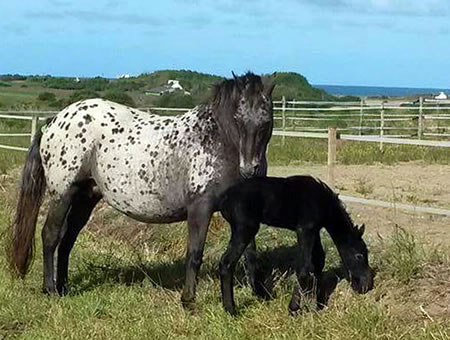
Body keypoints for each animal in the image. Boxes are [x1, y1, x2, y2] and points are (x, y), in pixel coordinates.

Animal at [7, 71, 274, 306]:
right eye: (237, 118)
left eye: (267, 120)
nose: (250, 169)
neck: (217, 139)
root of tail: (53, 122)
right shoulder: (201, 207)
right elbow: (195, 253)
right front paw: (188, 300)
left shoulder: (244, 211)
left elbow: (249, 252)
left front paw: (260, 293)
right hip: (62, 195)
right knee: (51, 236)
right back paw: (50, 289)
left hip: (85, 198)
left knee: (67, 240)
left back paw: (63, 287)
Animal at [220, 177, 374, 314]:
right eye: (359, 255)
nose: (366, 286)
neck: (323, 202)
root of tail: (225, 198)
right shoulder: (305, 229)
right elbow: (305, 269)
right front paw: (298, 308)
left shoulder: (314, 230)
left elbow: (318, 261)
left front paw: (315, 302)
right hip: (244, 229)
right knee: (226, 263)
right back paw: (231, 310)